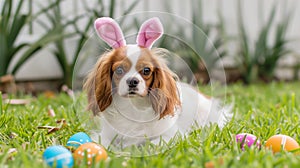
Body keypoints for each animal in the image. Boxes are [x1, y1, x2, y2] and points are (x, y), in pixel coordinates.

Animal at [84, 17, 232, 148]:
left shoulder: (172, 135)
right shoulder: (105, 136)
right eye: (119, 70)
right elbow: (102, 144)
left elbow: (152, 144)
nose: (132, 81)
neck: (134, 106)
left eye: (146, 70)